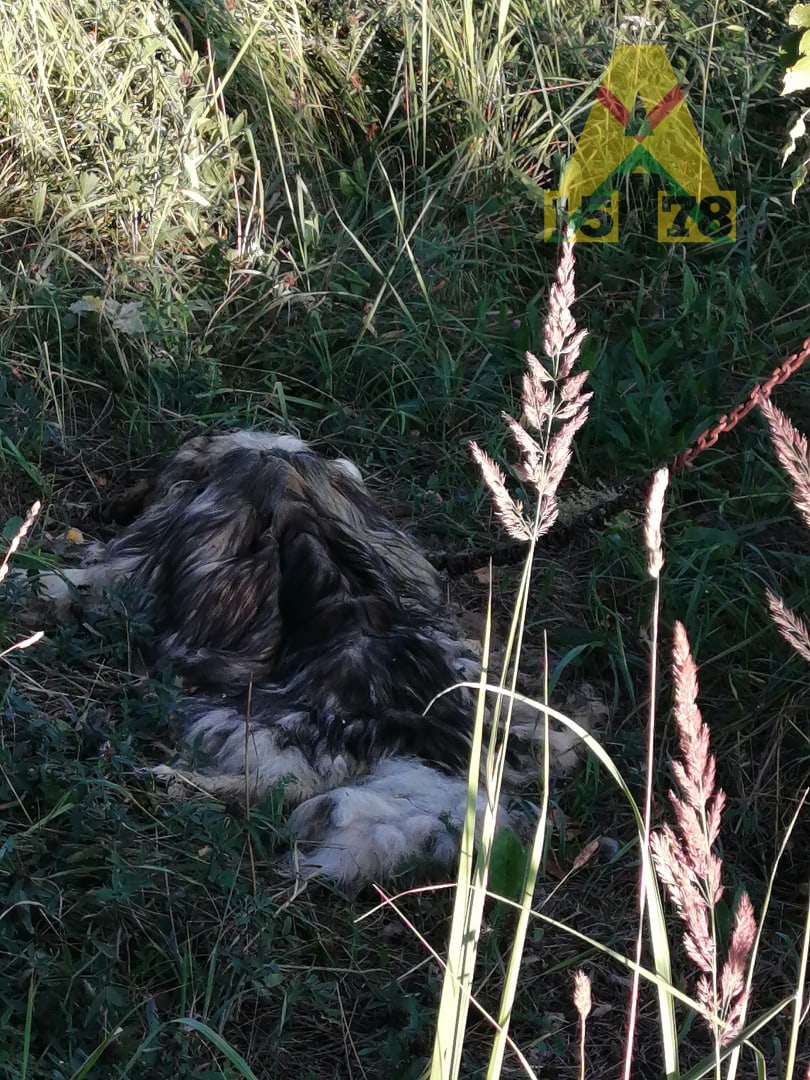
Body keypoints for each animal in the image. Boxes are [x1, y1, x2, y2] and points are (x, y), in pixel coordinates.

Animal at [28, 427, 604, 885]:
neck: (279, 463)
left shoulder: (134, 568)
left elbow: (86, 579)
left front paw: (40, 581)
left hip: (254, 725)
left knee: (275, 787)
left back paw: (166, 781)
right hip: (535, 725)